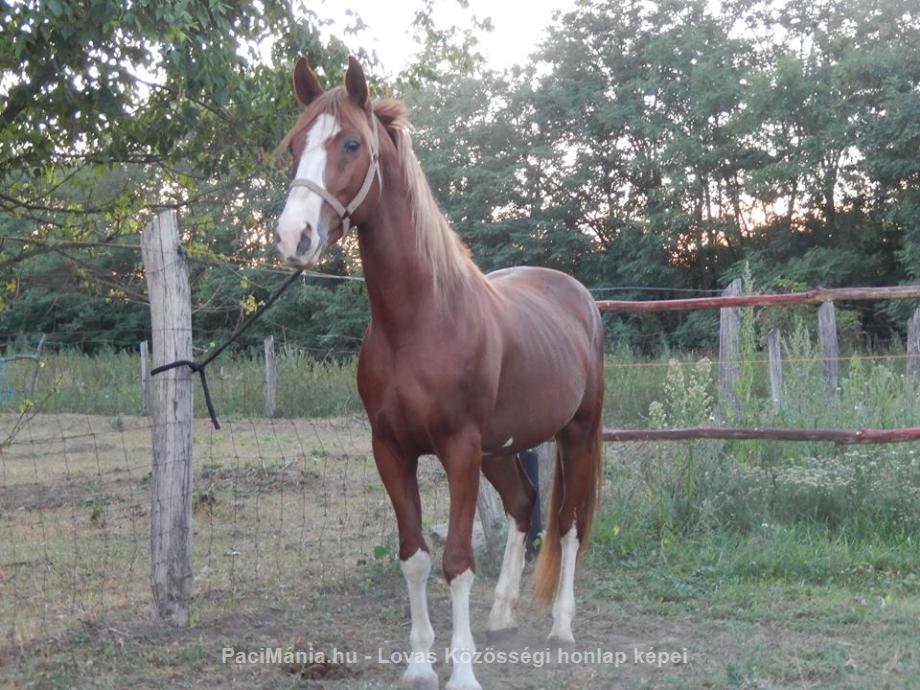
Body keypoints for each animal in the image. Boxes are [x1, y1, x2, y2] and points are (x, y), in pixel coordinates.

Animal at [274, 57, 604, 688]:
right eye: (295, 145)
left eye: (351, 143)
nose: (293, 236)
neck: (421, 321)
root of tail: (578, 296)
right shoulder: (392, 449)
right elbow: (415, 558)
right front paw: (421, 664)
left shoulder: (458, 449)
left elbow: (456, 561)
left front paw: (463, 672)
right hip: (501, 449)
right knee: (524, 506)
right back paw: (502, 616)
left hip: (576, 433)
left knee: (570, 524)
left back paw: (562, 626)